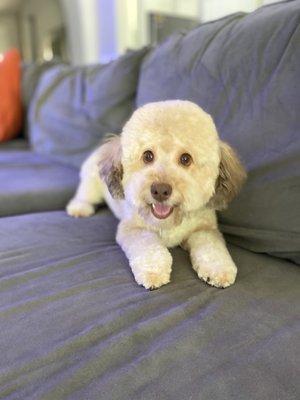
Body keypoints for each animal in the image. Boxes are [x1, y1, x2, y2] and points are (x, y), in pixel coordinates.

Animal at [66, 100, 246, 288]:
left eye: (186, 159)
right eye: (147, 155)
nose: (160, 190)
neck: (169, 223)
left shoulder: (205, 229)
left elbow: (212, 249)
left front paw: (219, 270)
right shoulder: (134, 228)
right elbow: (150, 249)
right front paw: (153, 272)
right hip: (92, 182)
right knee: (84, 194)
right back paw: (79, 208)